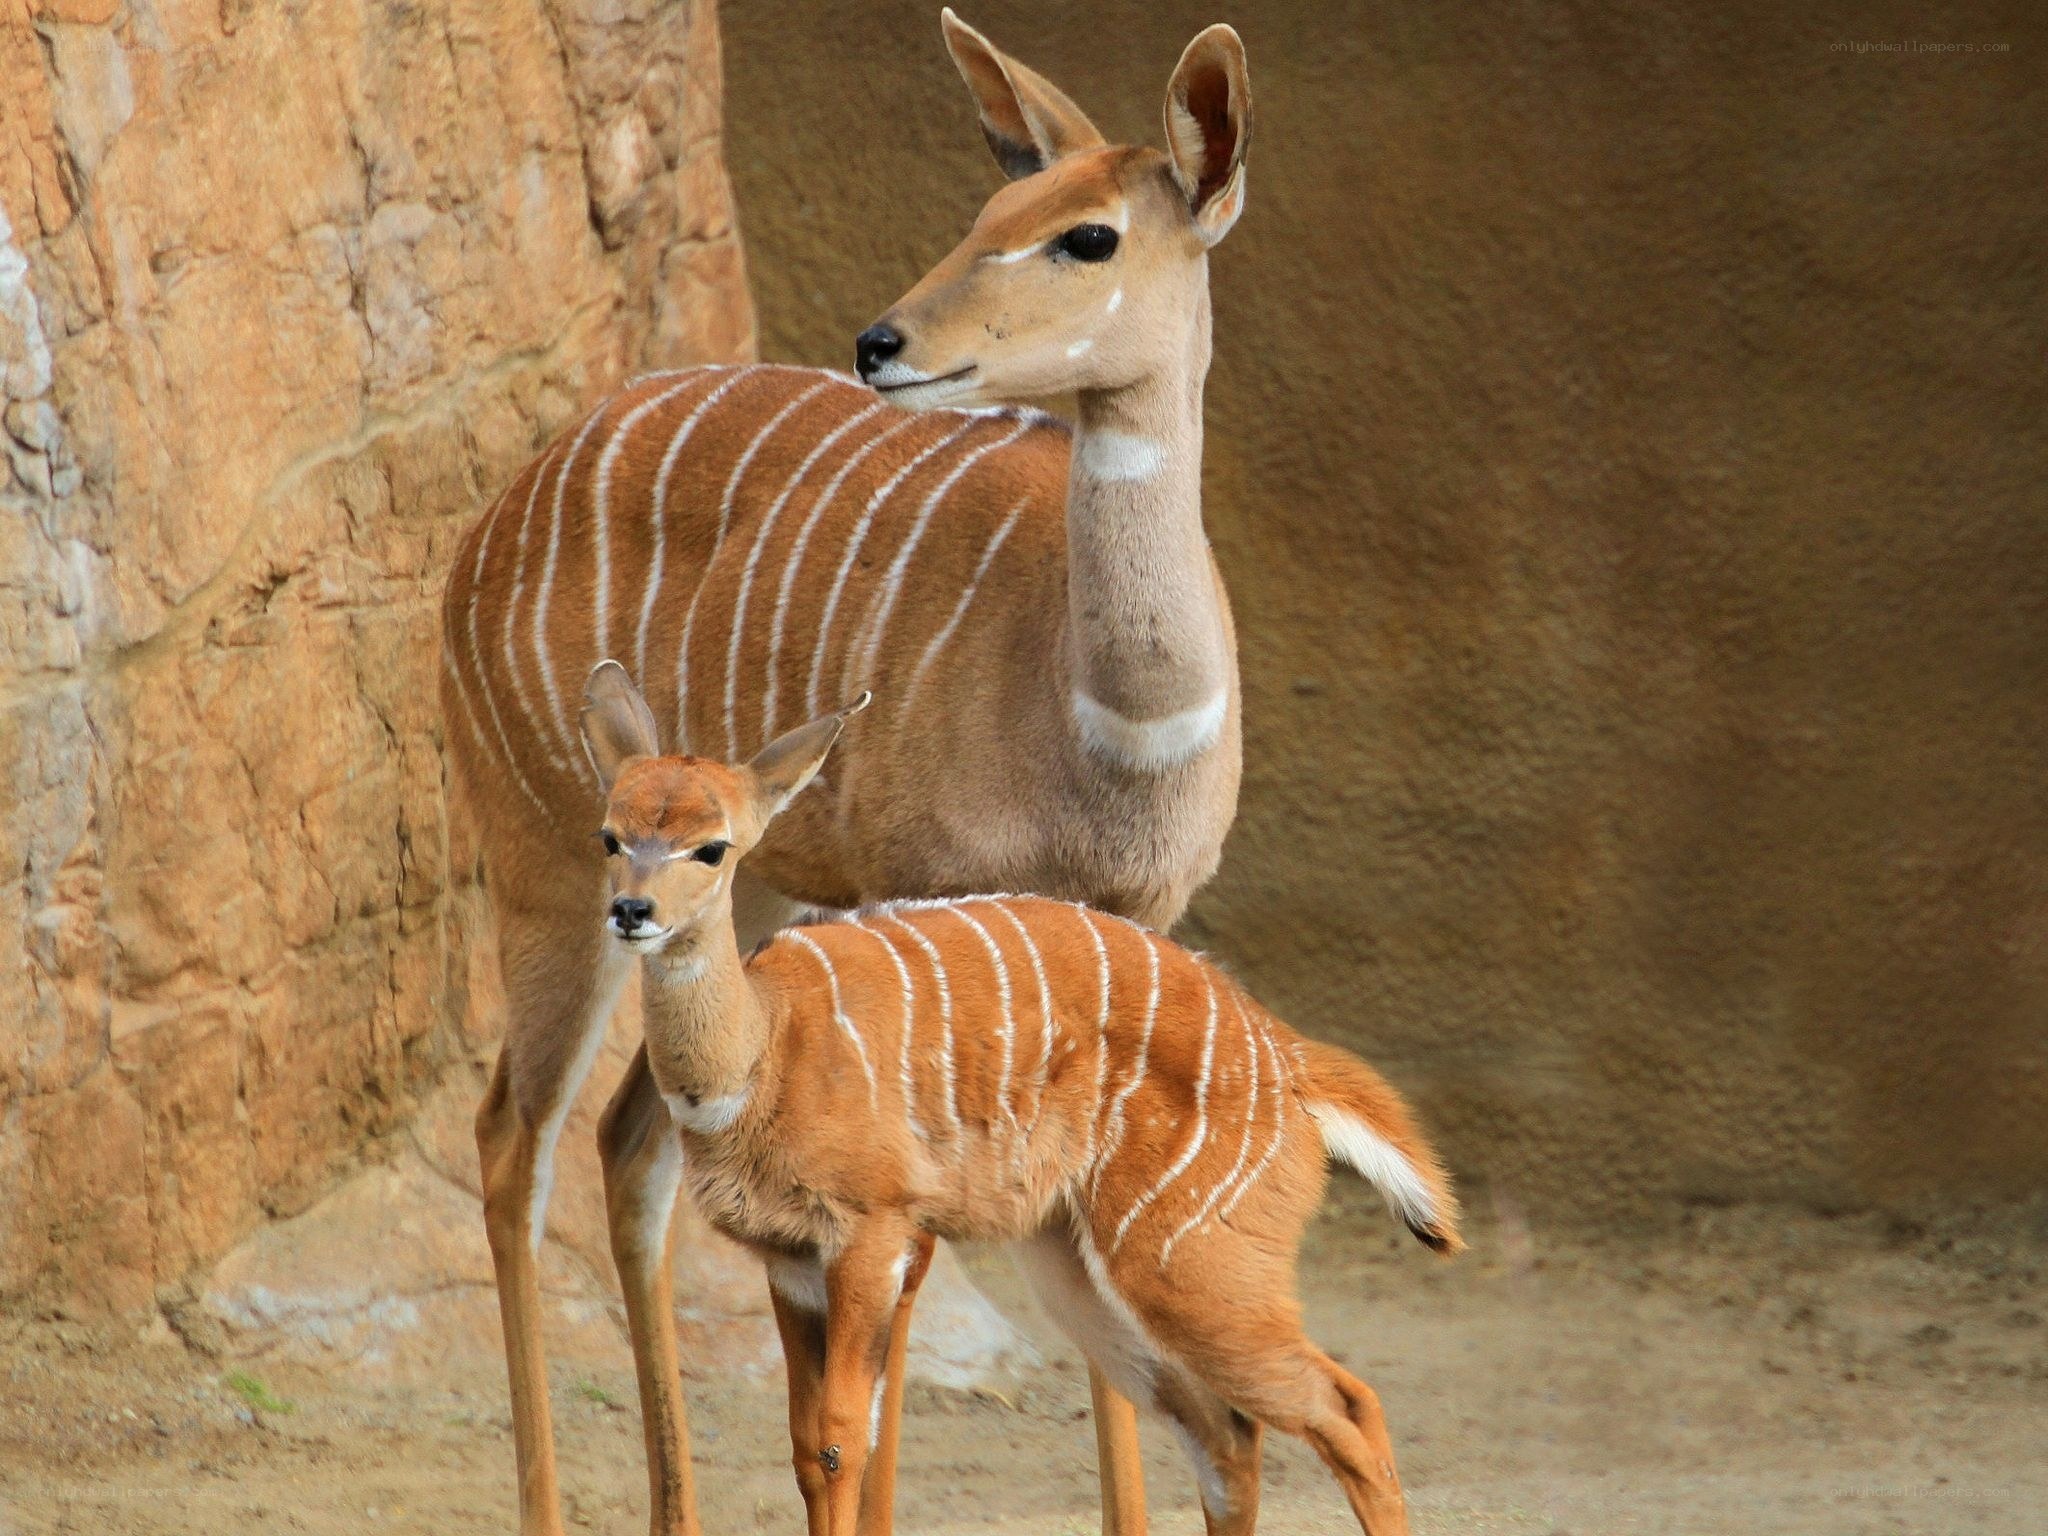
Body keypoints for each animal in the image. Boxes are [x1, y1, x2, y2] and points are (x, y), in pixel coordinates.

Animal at [440, 13, 1256, 1535]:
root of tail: (492, 517)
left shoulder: (1124, 939)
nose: (883, 340)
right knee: (515, 1141)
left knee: (631, 1142)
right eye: (986, 209)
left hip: (728, 886)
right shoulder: (920, 913)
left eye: (1088, 235)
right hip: (551, 866)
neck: (1108, 730)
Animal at [577, 663, 1460, 1536]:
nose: (631, 911)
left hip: (1197, 1268)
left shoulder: (872, 1232)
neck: (764, 1049)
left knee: (1347, 1408)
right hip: (1083, 1271)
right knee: (1228, 1434)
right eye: (612, 836)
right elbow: (804, 1447)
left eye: (711, 847)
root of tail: (1289, 1061)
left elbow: (841, 1441)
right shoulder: (789, 1259)